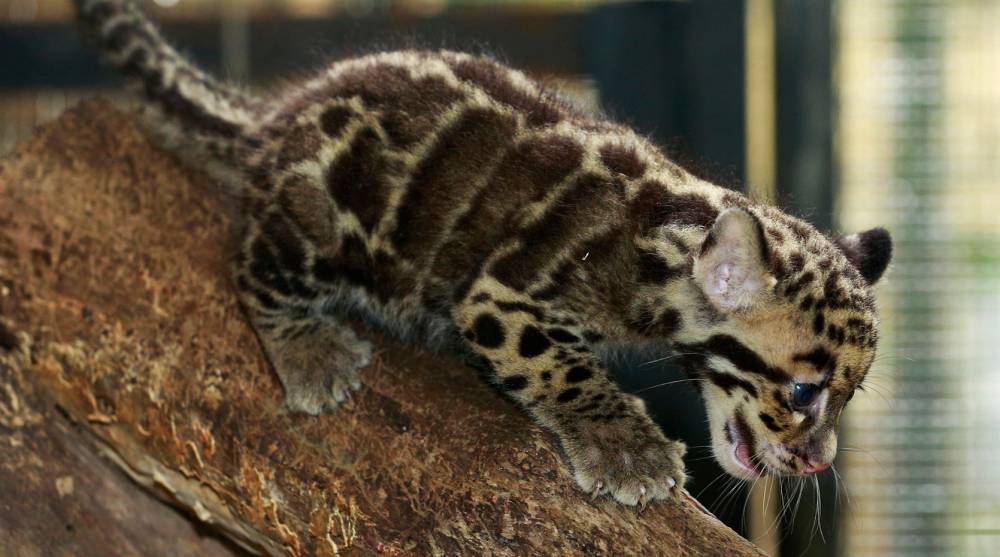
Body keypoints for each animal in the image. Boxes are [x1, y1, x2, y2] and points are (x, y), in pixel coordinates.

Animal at [73, 0, 892, 508]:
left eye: (848, 397)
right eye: (803, 392)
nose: (820, 458)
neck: (673, 226)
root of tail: (276, 119)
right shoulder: (503, 296)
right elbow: (562, 367)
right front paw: (624, 444)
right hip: (320, 217)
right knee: (254, 264)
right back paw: (309, 350)